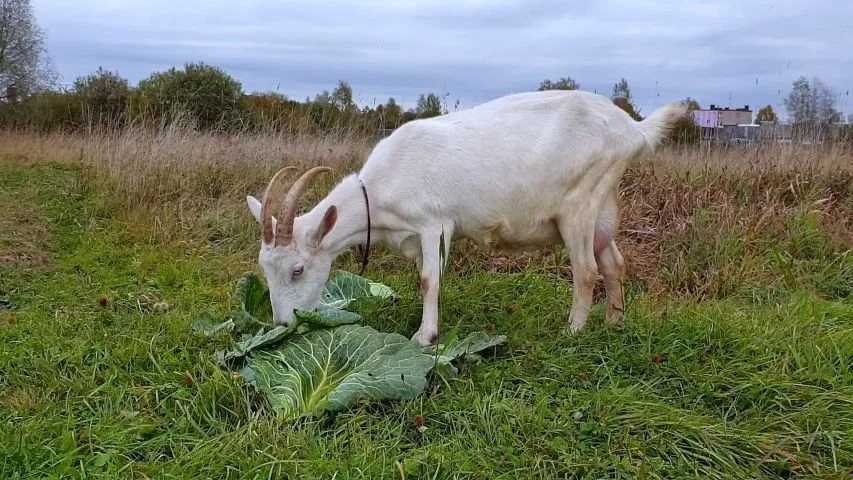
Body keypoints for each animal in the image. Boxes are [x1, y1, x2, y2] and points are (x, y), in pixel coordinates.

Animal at [243, 90, 684, 344]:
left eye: (298, 270)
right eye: (265, 270)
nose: (281, 325)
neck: (381, 188)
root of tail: (633, 129)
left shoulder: (433, 223)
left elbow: (427, 281)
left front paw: (424, 336)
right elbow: (426, 278)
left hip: (579, 203)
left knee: (587, 270)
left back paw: (573, 331)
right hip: (602, 205)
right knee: (613, 263)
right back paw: (614, 323)